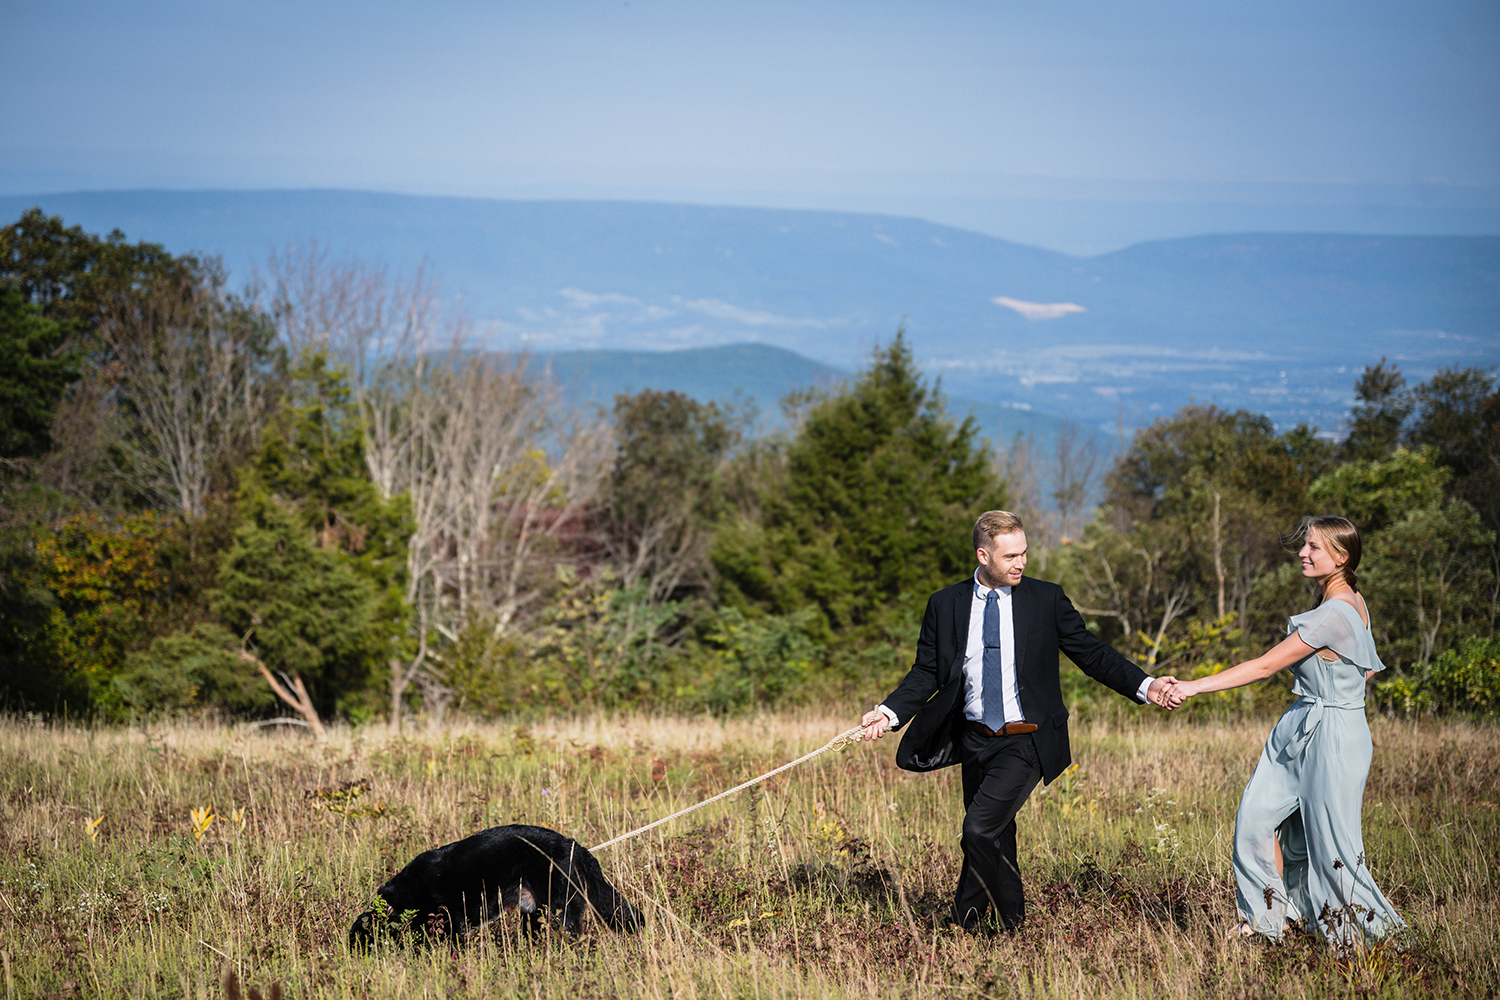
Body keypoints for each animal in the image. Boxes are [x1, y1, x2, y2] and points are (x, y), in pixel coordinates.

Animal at [349, 827, 639, 953]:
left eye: (359, 942)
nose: (351, 958)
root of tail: (575, 848)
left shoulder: (452, 925)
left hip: (559, 913)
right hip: (533, 915)